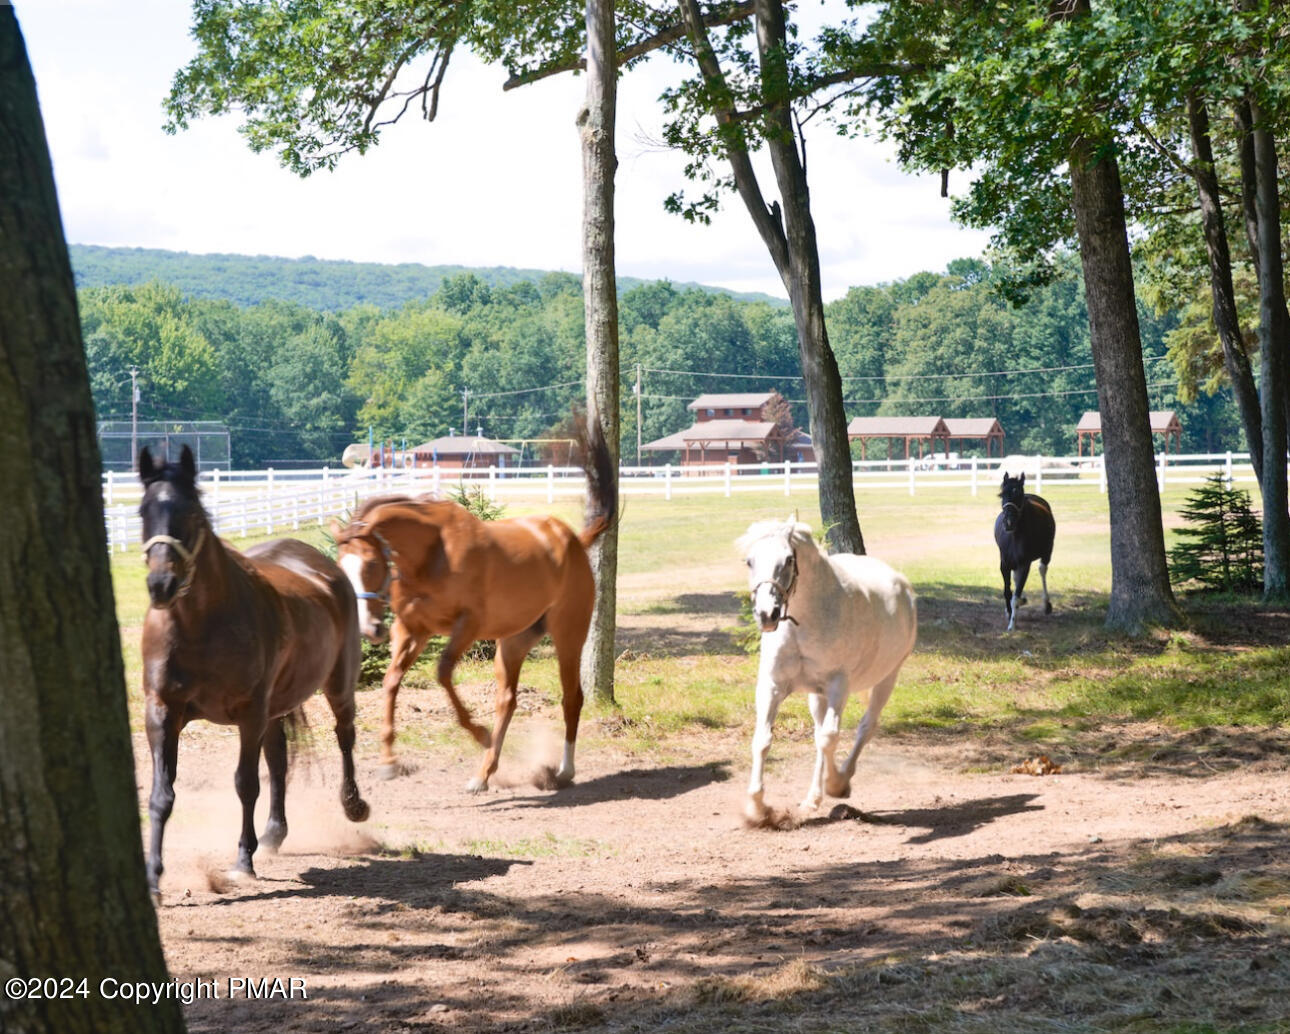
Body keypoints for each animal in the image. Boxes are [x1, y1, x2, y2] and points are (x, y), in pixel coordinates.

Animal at [139, 443, 368, 892]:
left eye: (192, 514)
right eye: (142, 512)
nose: (161, 586)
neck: (200, 625)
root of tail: (324, 567)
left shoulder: (248, 713)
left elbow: (245, 784)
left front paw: (243, 860)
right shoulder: (162, 712)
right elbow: (161, 794)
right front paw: (153, 876)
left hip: (337, 685)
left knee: (344, 736)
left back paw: (353, 805)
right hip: (275, 708)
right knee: (279, 760)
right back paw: (275, 833)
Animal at [330, 417, 616, 789]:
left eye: (370, 564)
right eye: (341, 567)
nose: (369, 628)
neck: (431, 554)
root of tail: (574, 541)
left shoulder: (466, 626)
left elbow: (442, 673)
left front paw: (478, 732)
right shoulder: (412, 630)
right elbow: (391, 681)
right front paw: (389, 761)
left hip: (568, 635)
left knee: (572, 697)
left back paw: (563, 770)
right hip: (513, 642)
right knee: (507, 701)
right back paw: (484, 773)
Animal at [737, 515, 918, 819]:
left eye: (788, 559)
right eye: (749, 561)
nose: (766, 615)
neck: (804, 623)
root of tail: (902, 586)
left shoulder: (837, 686)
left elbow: (829, 738)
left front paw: (836, 784)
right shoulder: (773, 685)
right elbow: (763, 740)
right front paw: (757, 809)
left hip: (886, 679)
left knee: (864, 727)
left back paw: (840, 781)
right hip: (816, 695)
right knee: (821, 733)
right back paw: (812, 798)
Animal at [990, 474, 1052, 631]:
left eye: (1019, 495)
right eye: (1002, 494)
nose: (1008, 523)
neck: (1014, 537)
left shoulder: (1025, 564)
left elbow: (1015, 595)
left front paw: (1012, 624)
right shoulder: (1004, 564)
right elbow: (1008, 592)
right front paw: (1009, 613)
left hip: (1047, 552)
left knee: (1042, 570)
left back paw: (1046, 604)